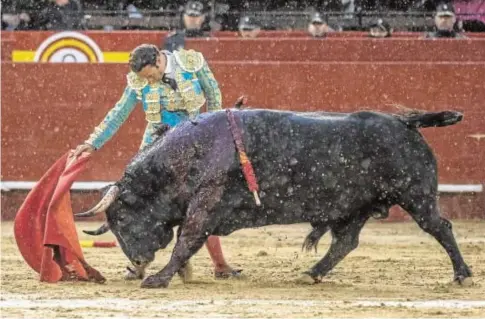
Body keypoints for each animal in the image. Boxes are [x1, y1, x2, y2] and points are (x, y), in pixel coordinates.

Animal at [77, 109, 470, 288]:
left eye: (122, 218)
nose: (138, 261)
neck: (189, 154)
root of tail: (405, 122)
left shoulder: (205, 203)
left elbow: (186, 241)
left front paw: (158, 279)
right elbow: (188, 242)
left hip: (416, 196)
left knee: (441, 227)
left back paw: (462, 274)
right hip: (356, 205)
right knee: (345, 242)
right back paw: (312, 273)